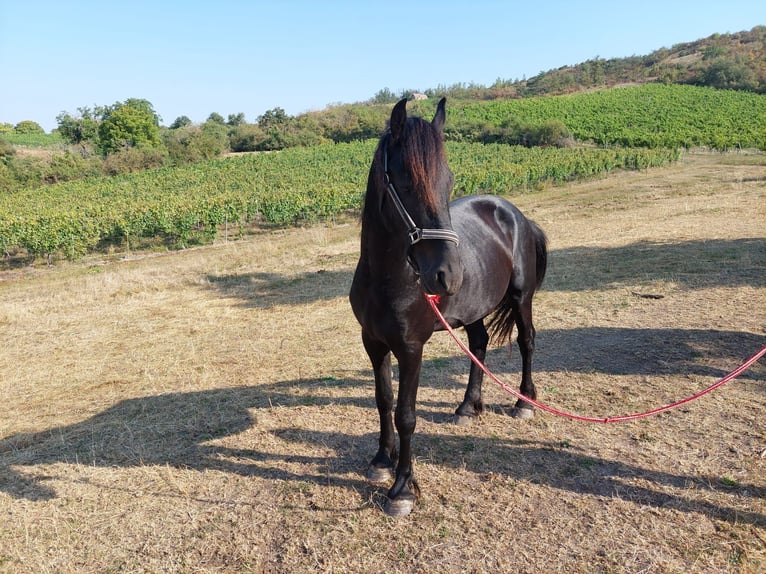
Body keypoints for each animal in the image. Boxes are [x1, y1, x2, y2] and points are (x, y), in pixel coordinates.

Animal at [352, 98, 548, 516]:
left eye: (449, 180)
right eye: (405, 182)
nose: (448, 274)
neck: (386, 279)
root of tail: (516, 214)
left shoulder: (411, 348)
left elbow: (406, 414)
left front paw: (403, 489)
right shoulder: (373, 343)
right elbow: (383, 400)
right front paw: (381, 460)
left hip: (521, 299)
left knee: (527, 341)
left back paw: (524, 403)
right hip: (473, 309)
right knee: (479, 344)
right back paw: (467, 407)